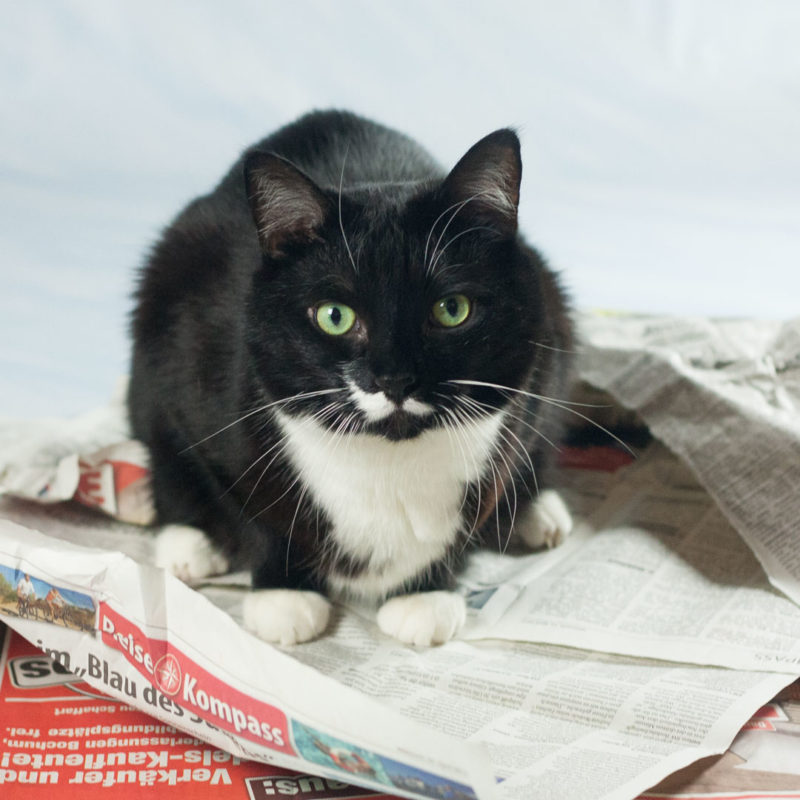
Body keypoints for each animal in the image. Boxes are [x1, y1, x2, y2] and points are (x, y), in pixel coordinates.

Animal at [128, 109, 572, 648]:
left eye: (452, 309)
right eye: (334, 316)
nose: (395, 378)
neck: (387, 458)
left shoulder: (534, 378)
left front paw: (424, 592)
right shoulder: (192, 372)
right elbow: (247, 505)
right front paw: (283, 592)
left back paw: (537, 510)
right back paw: (186, 543)